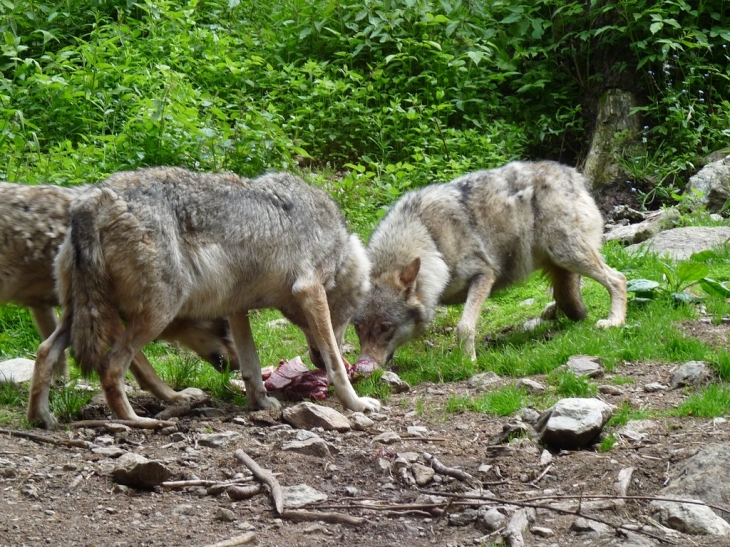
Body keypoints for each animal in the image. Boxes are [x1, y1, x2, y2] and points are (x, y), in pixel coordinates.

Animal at [0, 180, 239, 412]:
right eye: (225, 327)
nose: (237, 365)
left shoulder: (49, 309)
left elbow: (59, 358)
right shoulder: (114, 322)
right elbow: (143, 367)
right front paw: (174, 396)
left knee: (45, 350)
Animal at [25, 167, 378, 428]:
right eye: (347, 318)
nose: (314, 361)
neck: (338, 244)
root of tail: (95, 199)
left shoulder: (236, 308)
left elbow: (250, 366)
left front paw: (260, 403)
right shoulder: (309, 290)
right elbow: (335, 364)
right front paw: (357, 403)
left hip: (80, 314)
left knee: (45, 352)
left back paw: (41, 419)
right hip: (158, 313)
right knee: (111, 366)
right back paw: (137, 421)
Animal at [350, 161, 624, 370]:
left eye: (385, 328)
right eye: (358, 328)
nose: (363, 366)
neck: (431, 239)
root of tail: (572, 173)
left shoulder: (483, 275)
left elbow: (464, 326)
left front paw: (468, 362)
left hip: (568, 255)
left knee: (618, 278)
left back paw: (615, 321)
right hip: (560, 265)